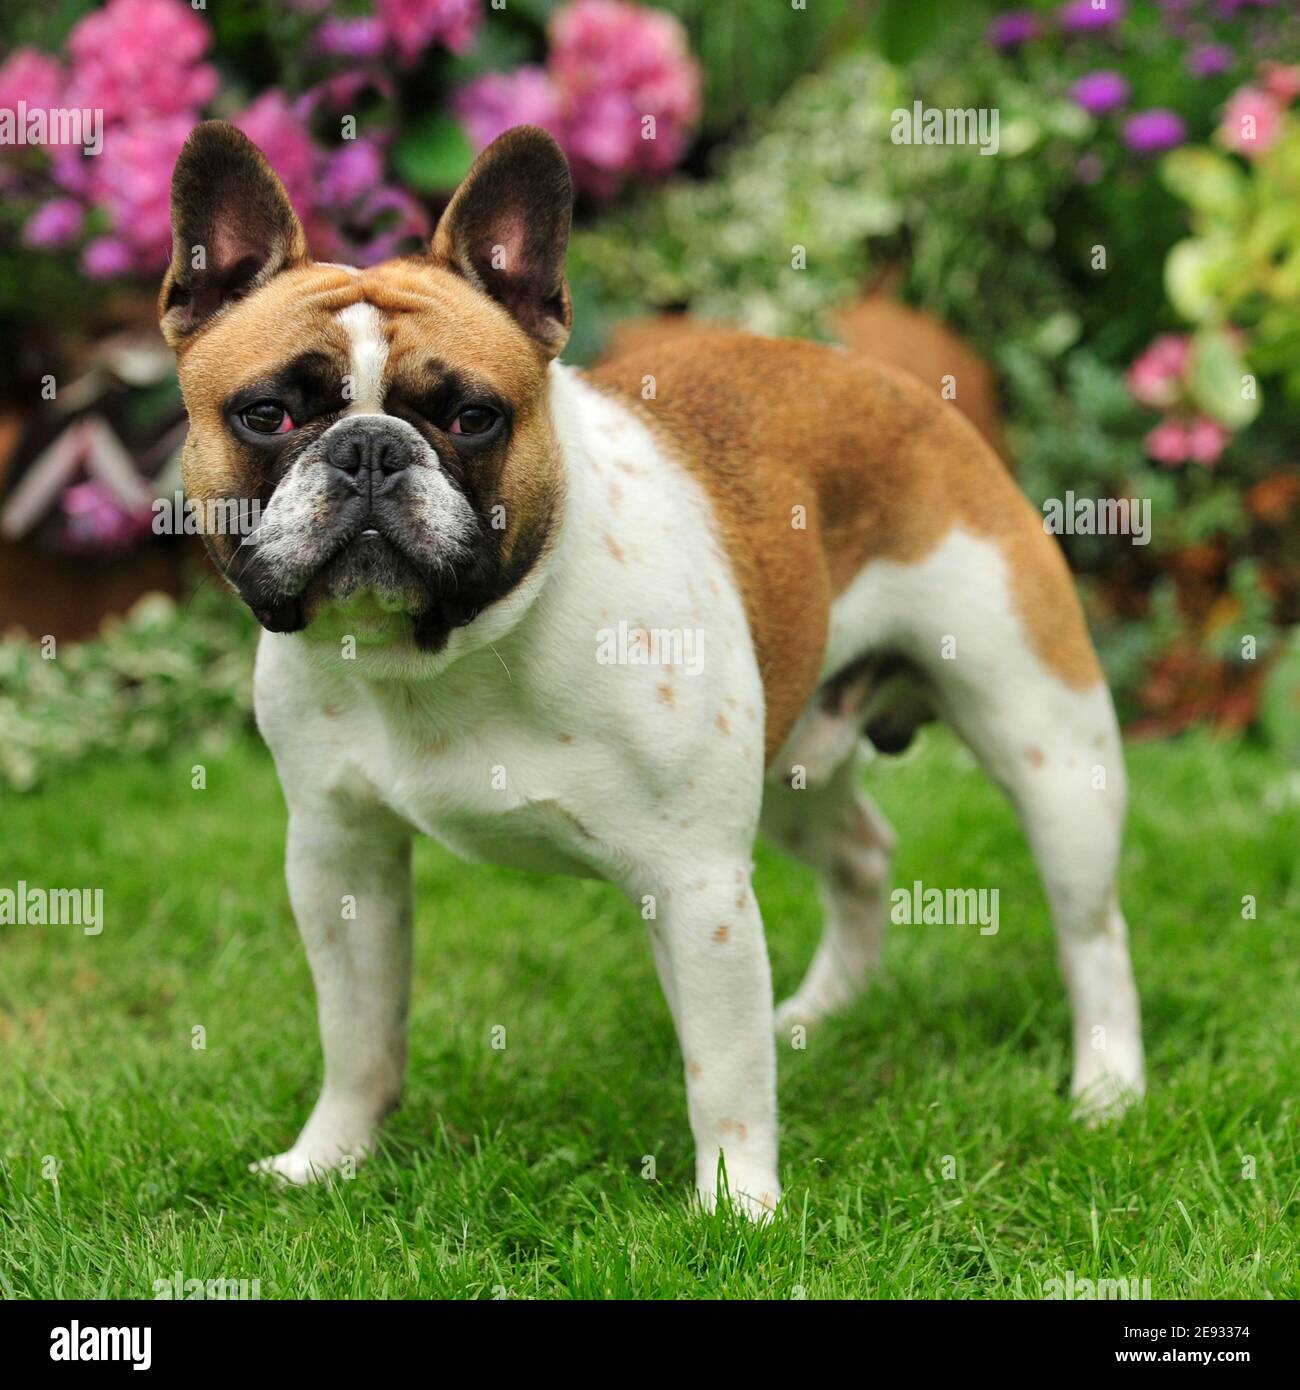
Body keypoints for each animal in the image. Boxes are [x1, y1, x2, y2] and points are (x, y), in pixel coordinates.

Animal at [157, 125, 1145, 1223]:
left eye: (471, 416)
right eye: (267, 415)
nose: (370, 448)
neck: (445, 654)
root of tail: (884, 377)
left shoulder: (695, 881)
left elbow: (723, 1070)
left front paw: (738, 1210)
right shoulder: (340, 855)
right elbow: (358, 1031)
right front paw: (327, 1159)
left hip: (1049, 746)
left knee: (1090, 928)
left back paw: (1106, 1089)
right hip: (793, 747)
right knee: (861, 853)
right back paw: (823, 1012)